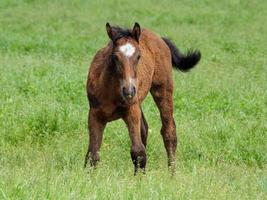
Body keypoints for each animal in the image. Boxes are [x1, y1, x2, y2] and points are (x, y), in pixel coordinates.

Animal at [84, 22, 201, 174]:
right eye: (115, 57)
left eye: (139, 56)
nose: (129, 90)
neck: (110, 91)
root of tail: (159, 37)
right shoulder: (95, 114)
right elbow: (92, 154)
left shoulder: (131, 111)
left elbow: (137, 151)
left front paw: (139, 179)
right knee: (145, 129)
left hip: (162, 90)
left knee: (169, 132)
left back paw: (172, 174)